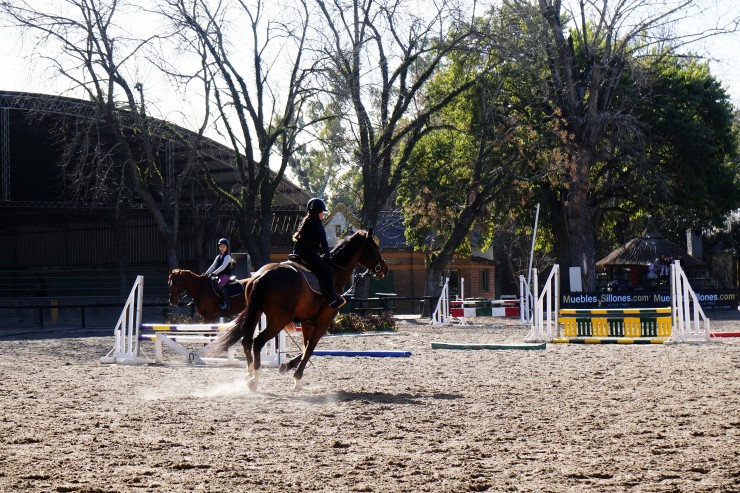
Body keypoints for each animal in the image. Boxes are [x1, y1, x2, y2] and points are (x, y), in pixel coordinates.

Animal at [210, 228, 388, 392]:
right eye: (374, 247)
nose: (384, 269)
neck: (335, 272)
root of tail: (264, 275)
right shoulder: (323, 321)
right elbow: (311, 348)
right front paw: (297, 377)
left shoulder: (306, 322)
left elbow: (305, 346)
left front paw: (287, 366)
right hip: (278, 321)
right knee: (258, 341)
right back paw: (255, 379)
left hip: (256, 313)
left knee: (247, 341)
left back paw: (250, 373)